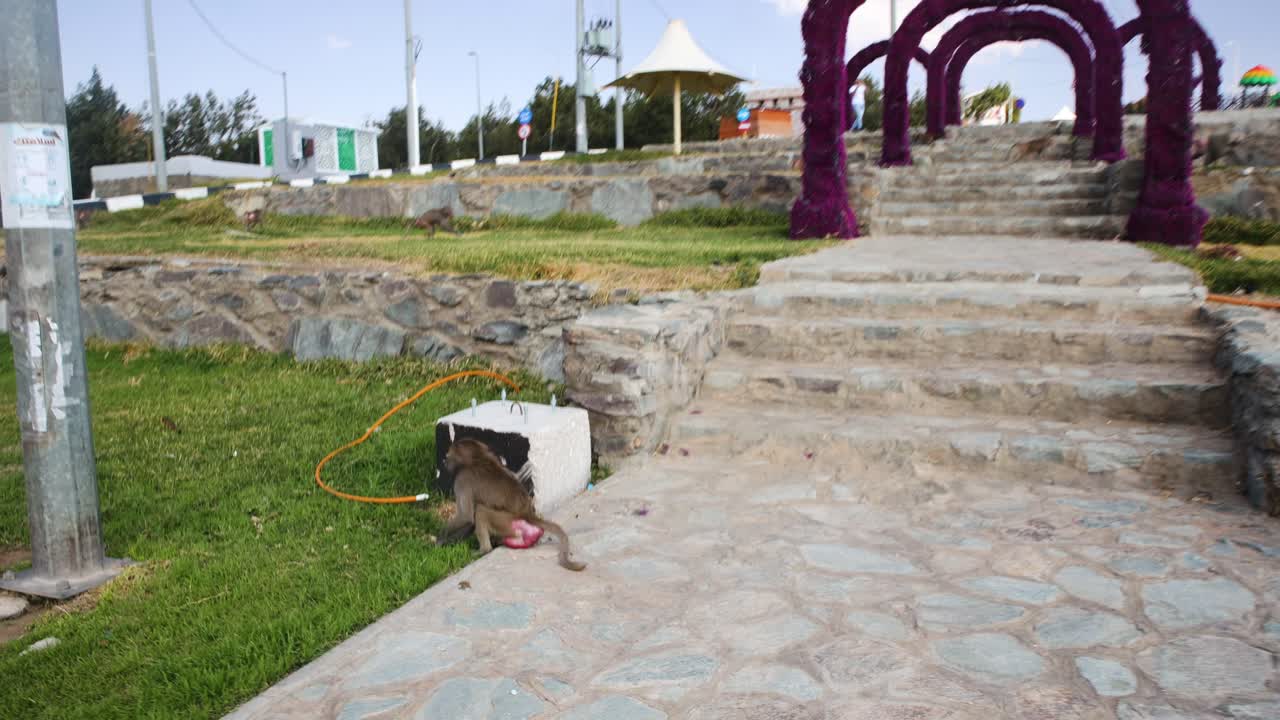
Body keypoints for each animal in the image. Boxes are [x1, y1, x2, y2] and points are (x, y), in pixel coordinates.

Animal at [437, 439, 586, 571]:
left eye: (448, 457)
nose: (445, 463)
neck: (477, 457)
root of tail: (527, 512)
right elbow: (469, 520)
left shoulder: (462, 479)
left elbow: (466, 516)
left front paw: (439, 540)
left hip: (505, 521)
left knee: (480, 511)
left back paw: (485, 549)